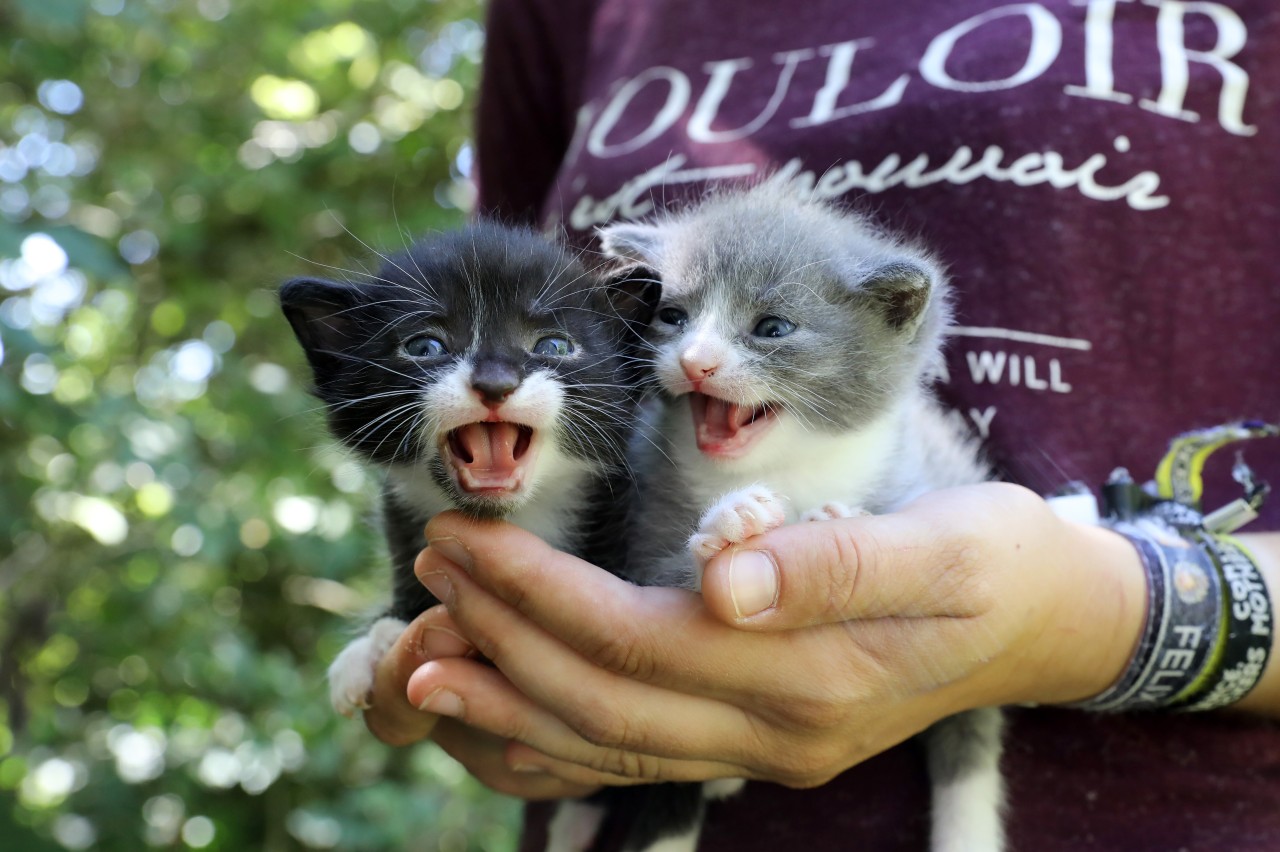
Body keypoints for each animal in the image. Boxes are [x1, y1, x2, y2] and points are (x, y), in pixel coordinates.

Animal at [593, 180, 1003, 849]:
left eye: (772, 327)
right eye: (672, 316)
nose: (695, 361)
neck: (791, 466)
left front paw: (831, 520)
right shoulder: (641, 520)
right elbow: (661, 574)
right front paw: (731, 522)